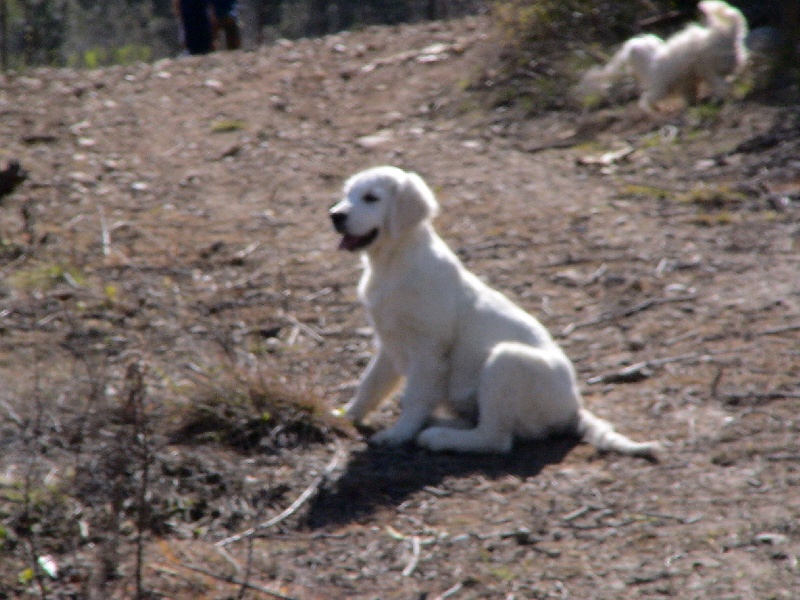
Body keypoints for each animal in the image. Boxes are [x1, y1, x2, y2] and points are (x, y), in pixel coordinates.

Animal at [332, 165, 664, 460]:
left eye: (371, 198)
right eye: (347, 194)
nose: (335, 215)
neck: (391, 264)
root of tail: (574, 409)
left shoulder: (428, 352)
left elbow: (413, 397)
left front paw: (398, 434)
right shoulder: (389, 344)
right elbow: (369, 384)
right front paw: (345, 414)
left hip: (507, 361)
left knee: (496, 438)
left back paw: (439, 436)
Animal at [580, 0, 748, 113]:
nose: (629, 70)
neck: (649, 60)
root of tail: (728, 35)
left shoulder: (660, 87)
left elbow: (647, 99)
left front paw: (654, 110)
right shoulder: (686, 84)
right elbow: (689, 95)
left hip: (708, 68)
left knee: (720, 84)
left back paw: (721, 97)